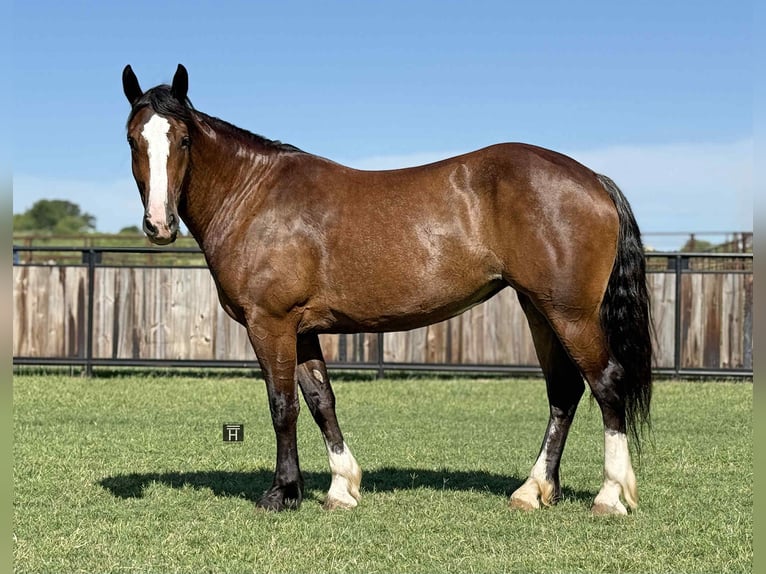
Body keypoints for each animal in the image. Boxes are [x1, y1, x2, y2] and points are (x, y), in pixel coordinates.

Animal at [122, 64, 652, 515]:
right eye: (132, 140)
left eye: (183, 139)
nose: (159, 225)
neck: (254, 195)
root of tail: (594, 180)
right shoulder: (302, 329)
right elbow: (320, 401)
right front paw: (341, 488)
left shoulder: (270, 323)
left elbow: (282, 405)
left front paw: (282, 493)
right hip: (538, 309)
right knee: (564, 390)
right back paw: (533, 490)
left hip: (570, 314)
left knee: (606, 383)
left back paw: (610, 496)